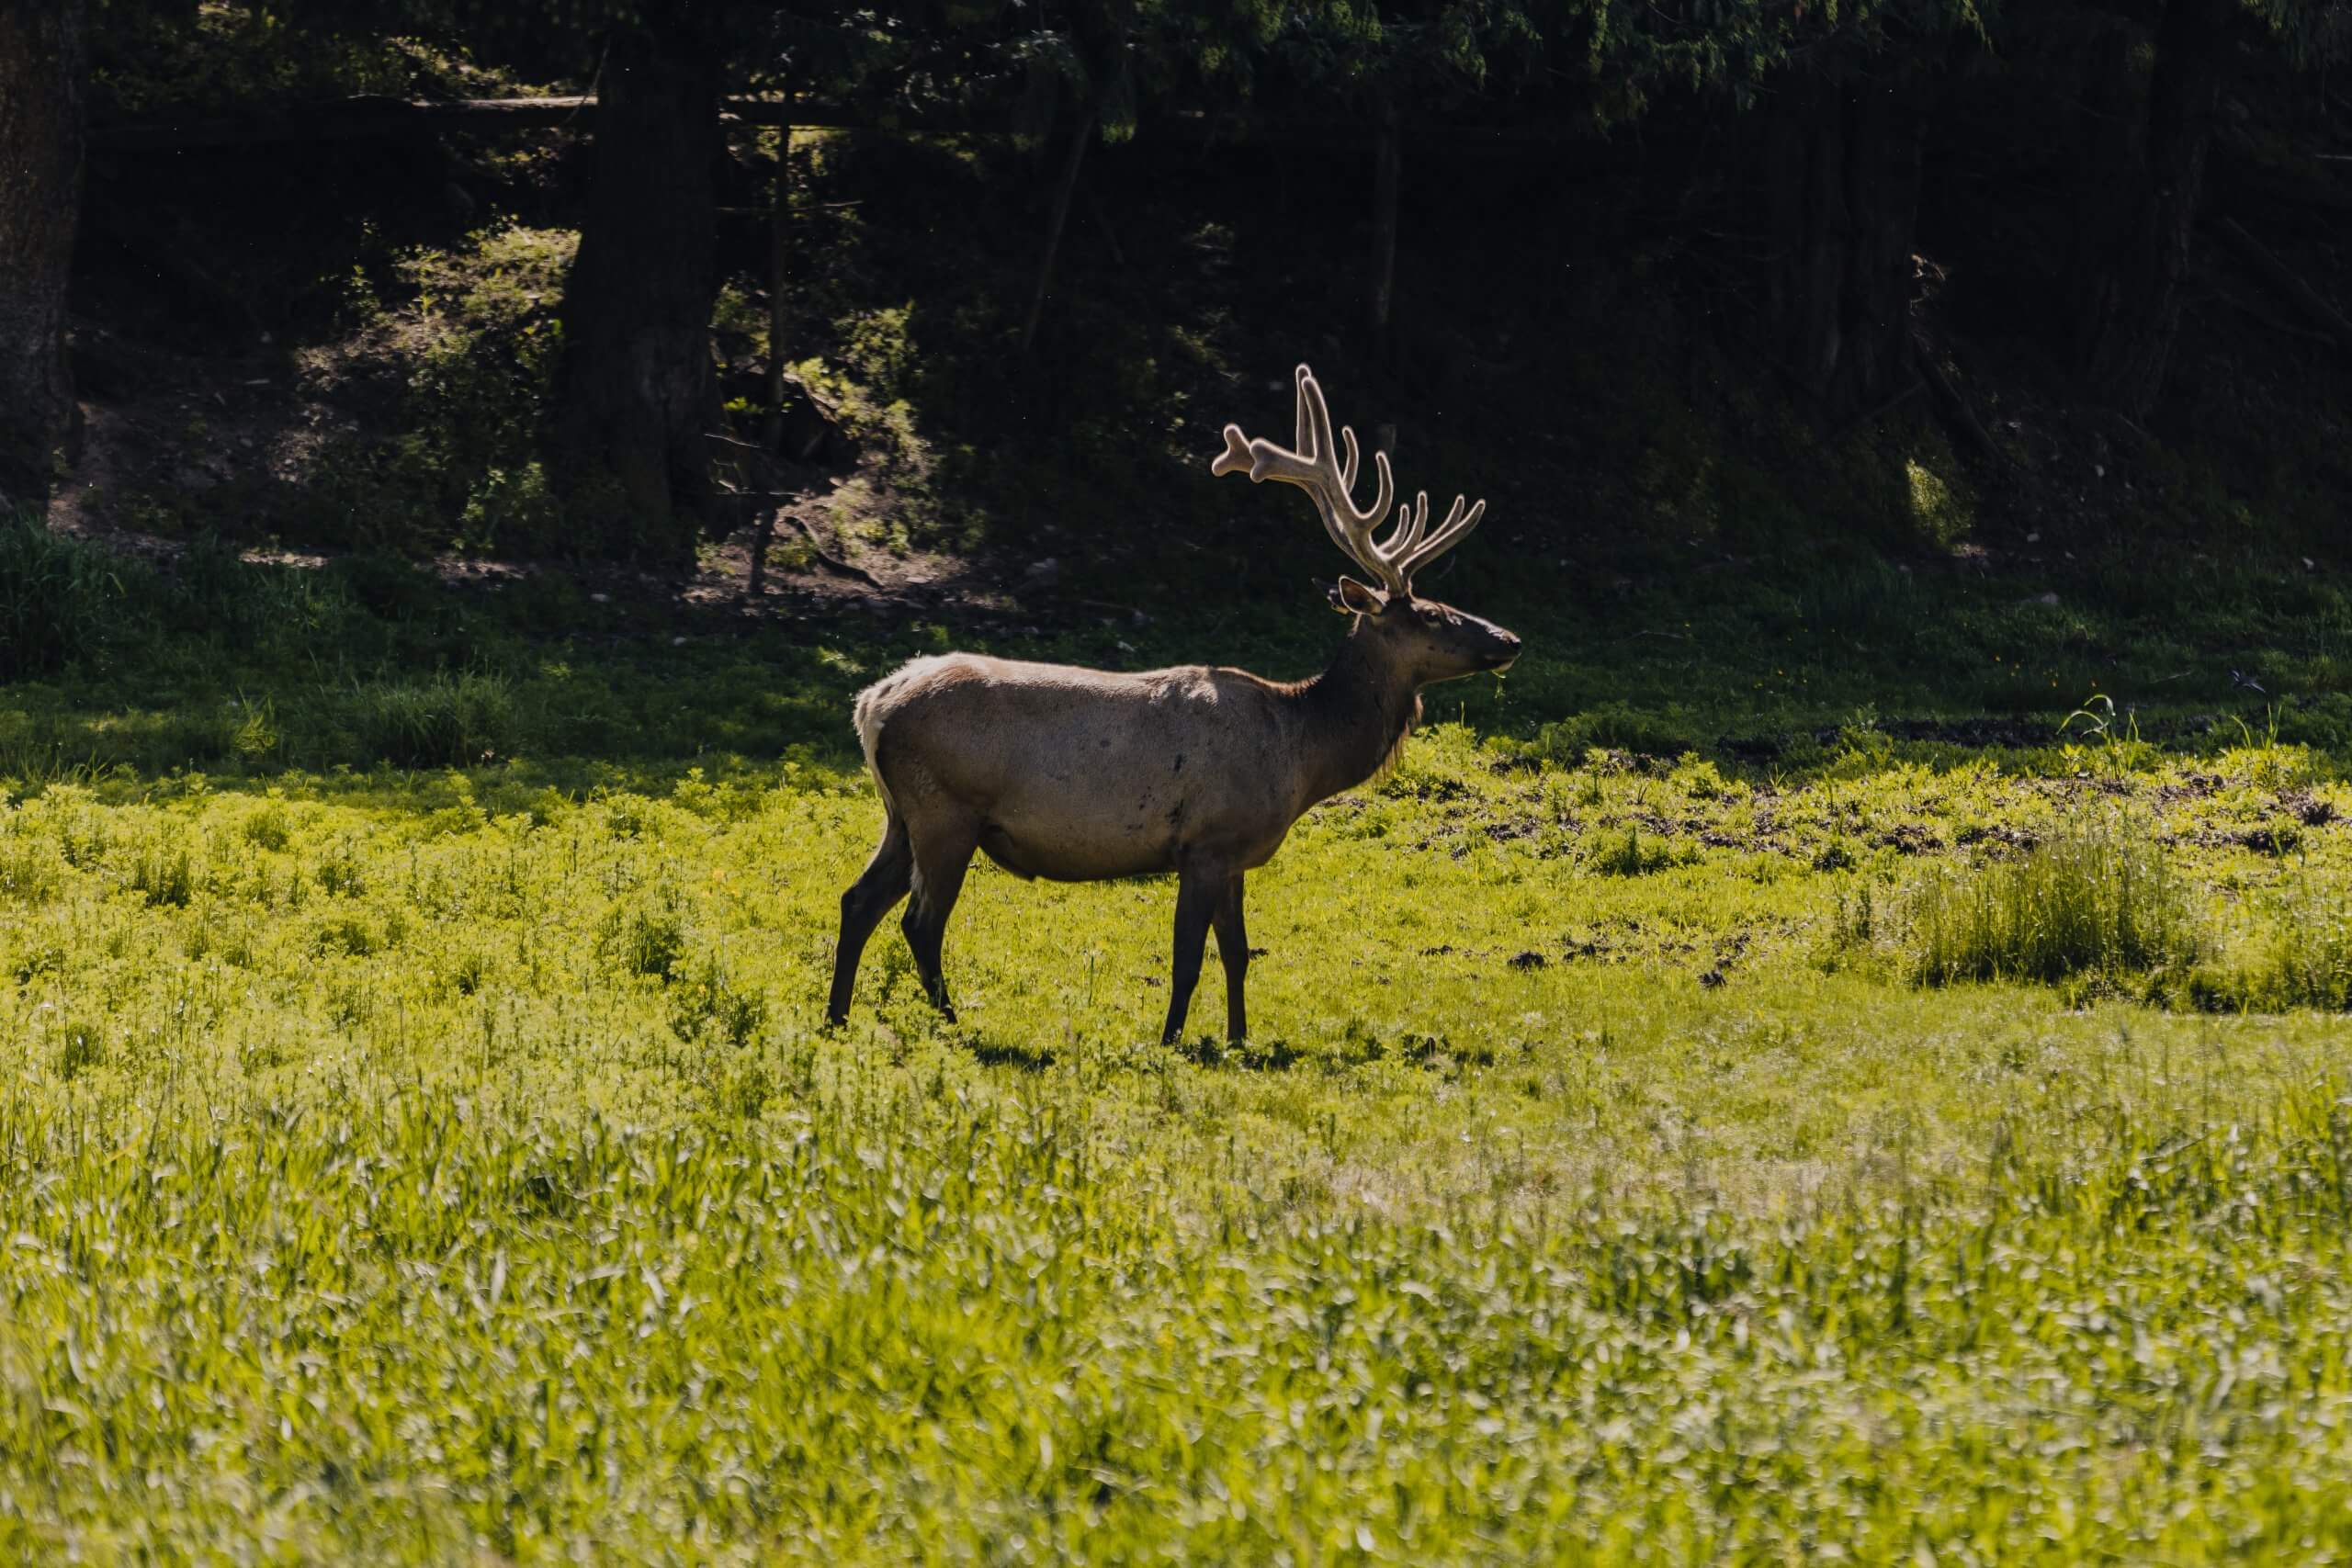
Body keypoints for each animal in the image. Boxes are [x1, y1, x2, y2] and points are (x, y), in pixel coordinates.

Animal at [828, 371, 1523, 1043]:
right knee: (920, 922)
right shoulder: (1205, 841)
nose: (1510, 639)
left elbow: (1238, 952)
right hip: (947, 809)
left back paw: (836, 1018)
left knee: (857, 901)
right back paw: (952, 1024)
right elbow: (1188, 956)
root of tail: (871, 705)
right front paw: (1170, 1041)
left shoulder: (1236, 853)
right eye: (1430, 614)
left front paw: (1240, 1040)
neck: (1299, 753)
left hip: (902, 813)